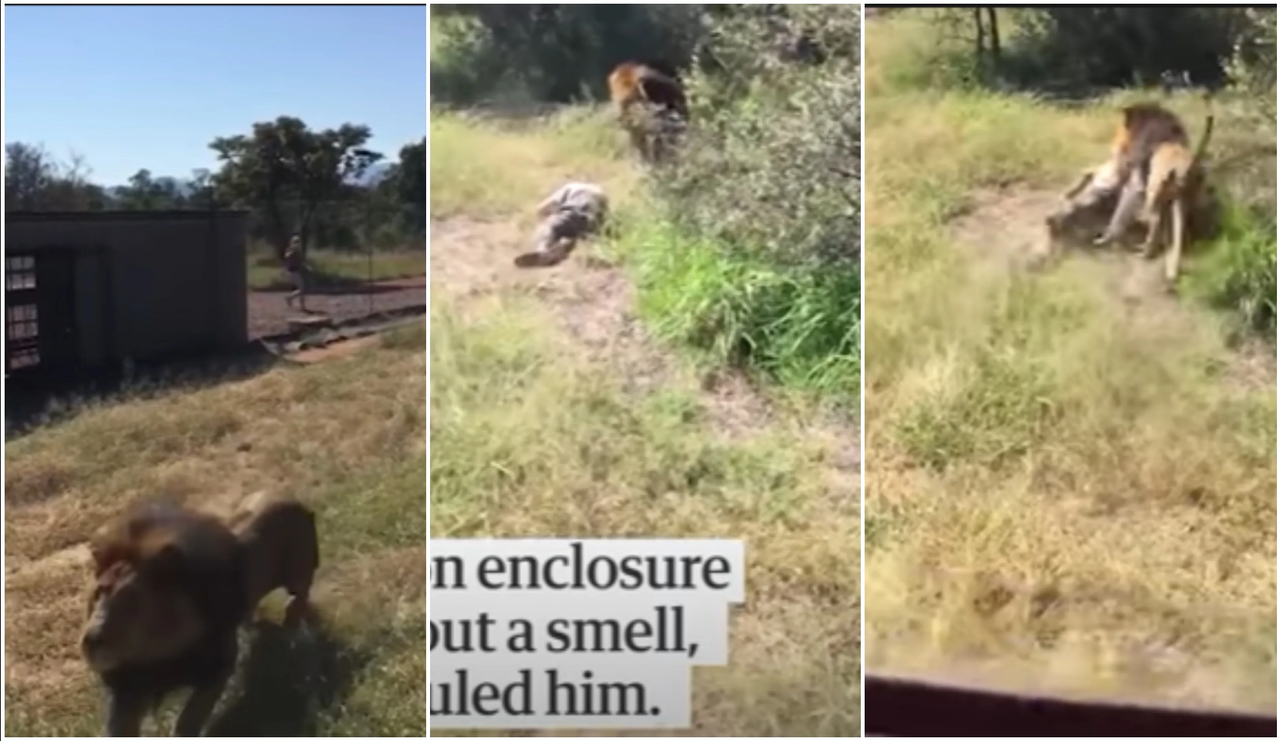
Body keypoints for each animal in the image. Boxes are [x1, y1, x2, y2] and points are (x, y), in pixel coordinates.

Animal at [82, 501, 249, 736]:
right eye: (98, 594)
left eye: (131, 597)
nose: (92, 639)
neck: (156, 655)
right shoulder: (123, 690)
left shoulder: (220, 662)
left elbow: (191, 716)